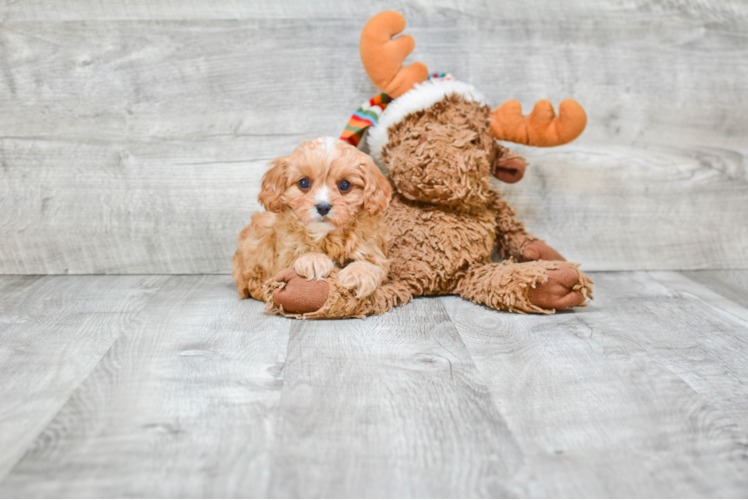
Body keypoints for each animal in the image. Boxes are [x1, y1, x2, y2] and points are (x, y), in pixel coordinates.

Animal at [231, 136, 392, 304]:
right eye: (304, 182)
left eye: (345, 185)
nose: (323, 207)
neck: (326, 235)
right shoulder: (284, 256)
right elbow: (298, 254)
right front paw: (313, 259)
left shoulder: (373, 250)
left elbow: (372, 264)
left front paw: (357, 274)